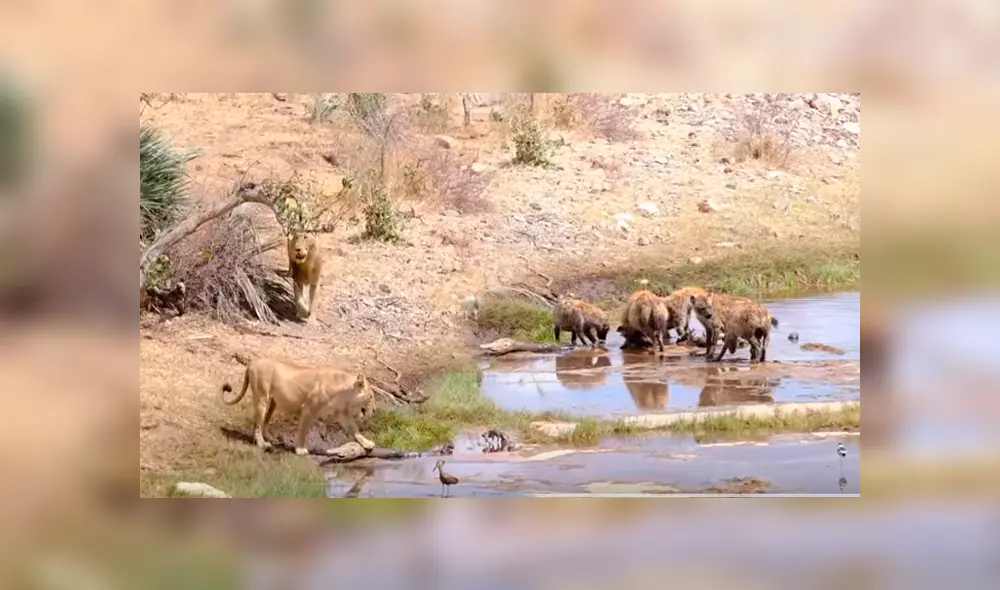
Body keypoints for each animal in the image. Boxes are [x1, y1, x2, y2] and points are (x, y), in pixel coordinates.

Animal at [221, 357, 377, 456]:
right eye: (371, 397)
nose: (375, 410)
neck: (344, 394)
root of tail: (252, 363)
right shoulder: (308, 408)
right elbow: (302, 431)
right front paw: (300, 450)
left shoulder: (342, 414)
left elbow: (354, 430)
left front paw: (367, 443)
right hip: (261, 398)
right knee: (257, 425)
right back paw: (262, 444)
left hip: (272, 403)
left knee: (264, 422)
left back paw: (271, 439)